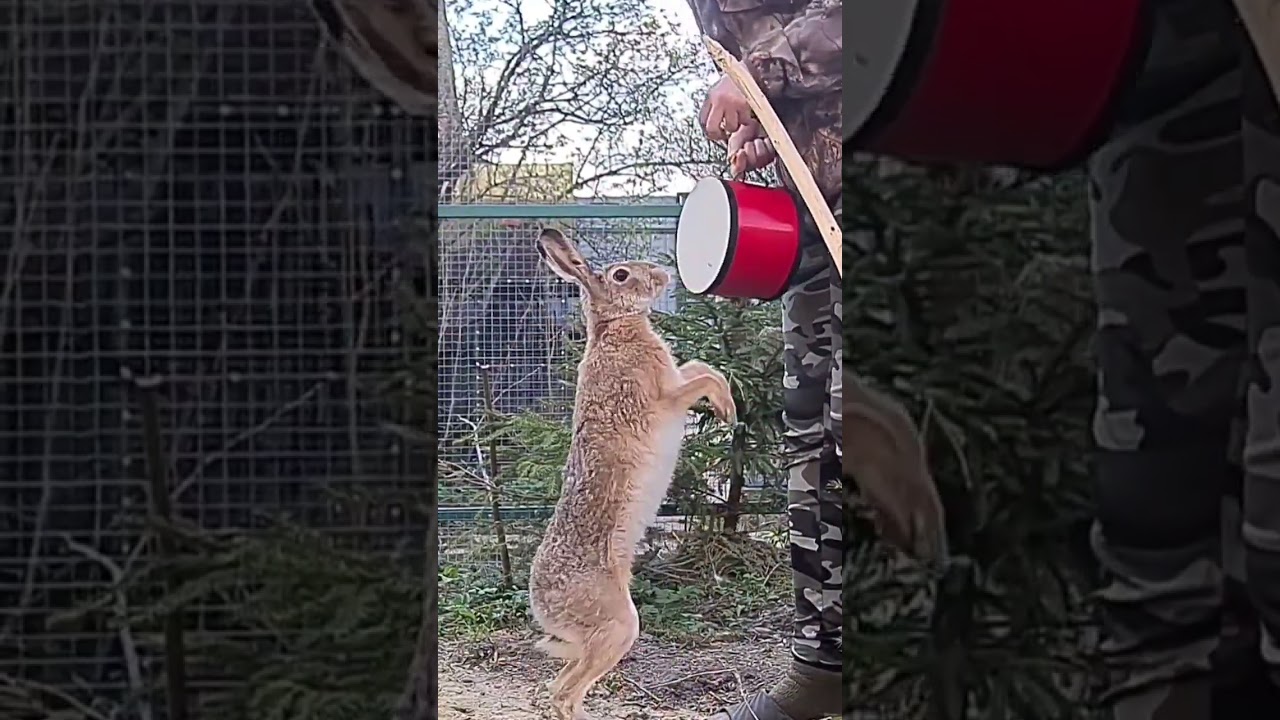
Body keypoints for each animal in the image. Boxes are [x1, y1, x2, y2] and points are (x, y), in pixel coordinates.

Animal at [528, 228, 736, 720]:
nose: (662, 275)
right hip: (619, 627)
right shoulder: (666, 396)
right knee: (565, 692)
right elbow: (703, 377)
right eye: (622, 275)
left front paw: (729, 407)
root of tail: (540, 604)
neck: (614, 326)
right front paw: (730, 411)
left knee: (557, 685)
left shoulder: (674, 380)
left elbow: (701, 367)